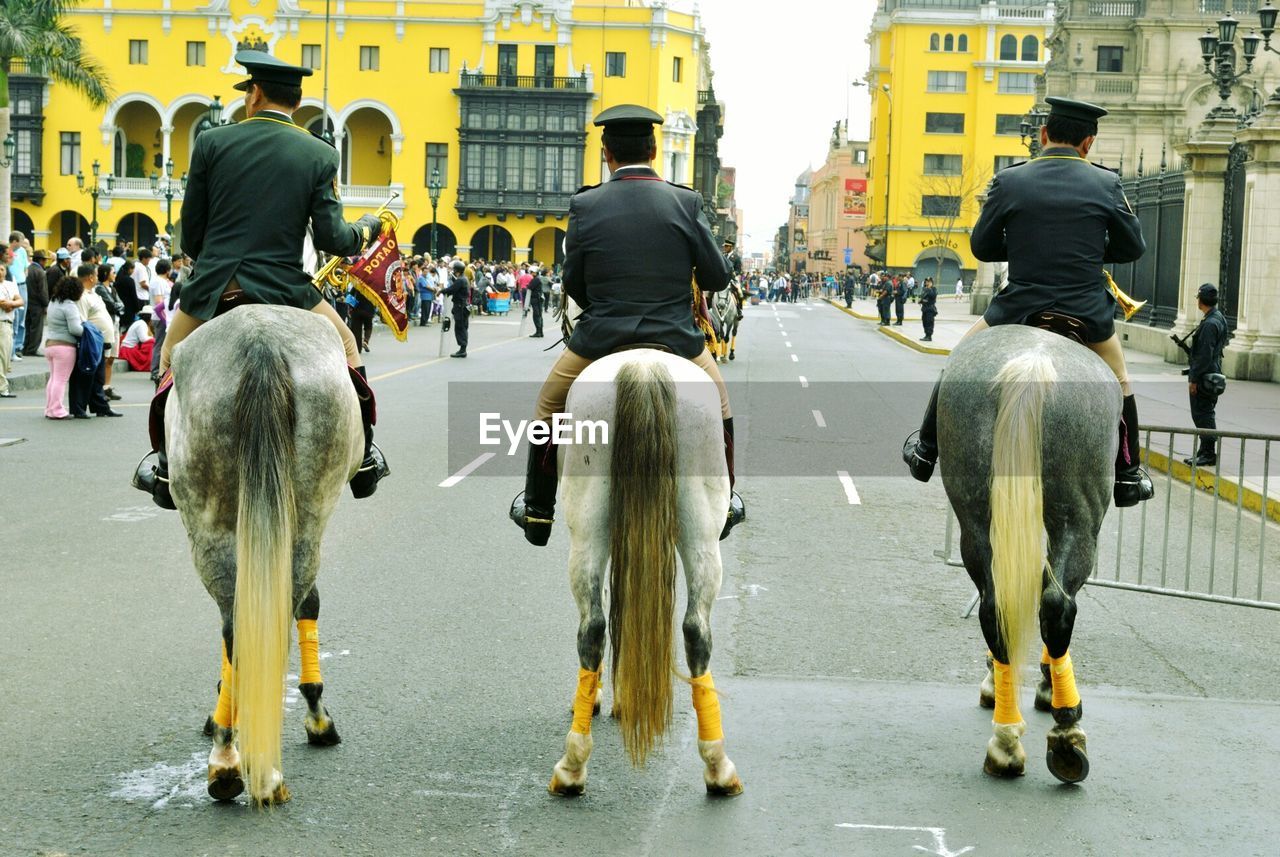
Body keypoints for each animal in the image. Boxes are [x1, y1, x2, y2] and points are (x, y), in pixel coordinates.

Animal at [167, 305, 363, 808]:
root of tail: (260, 343)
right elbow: (309, 604)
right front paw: (316, 715)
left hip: (212, 518)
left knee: (241, 624)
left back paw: (228, 759)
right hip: (307, 509)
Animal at [547, 347, 747, 798]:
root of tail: (643, 365)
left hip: (592, 525)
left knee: (595, 626)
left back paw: (574, 761)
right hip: (697, 526)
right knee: (692, 628)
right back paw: (716, 764)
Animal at [942, 327, 1121, 787]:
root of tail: (1032, 363)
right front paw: (1047, 688)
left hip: (976, 511)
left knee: (999, 605)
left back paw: (1007, 741)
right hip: (1080, 515)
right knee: (1054, 606)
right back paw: (1064, 731)